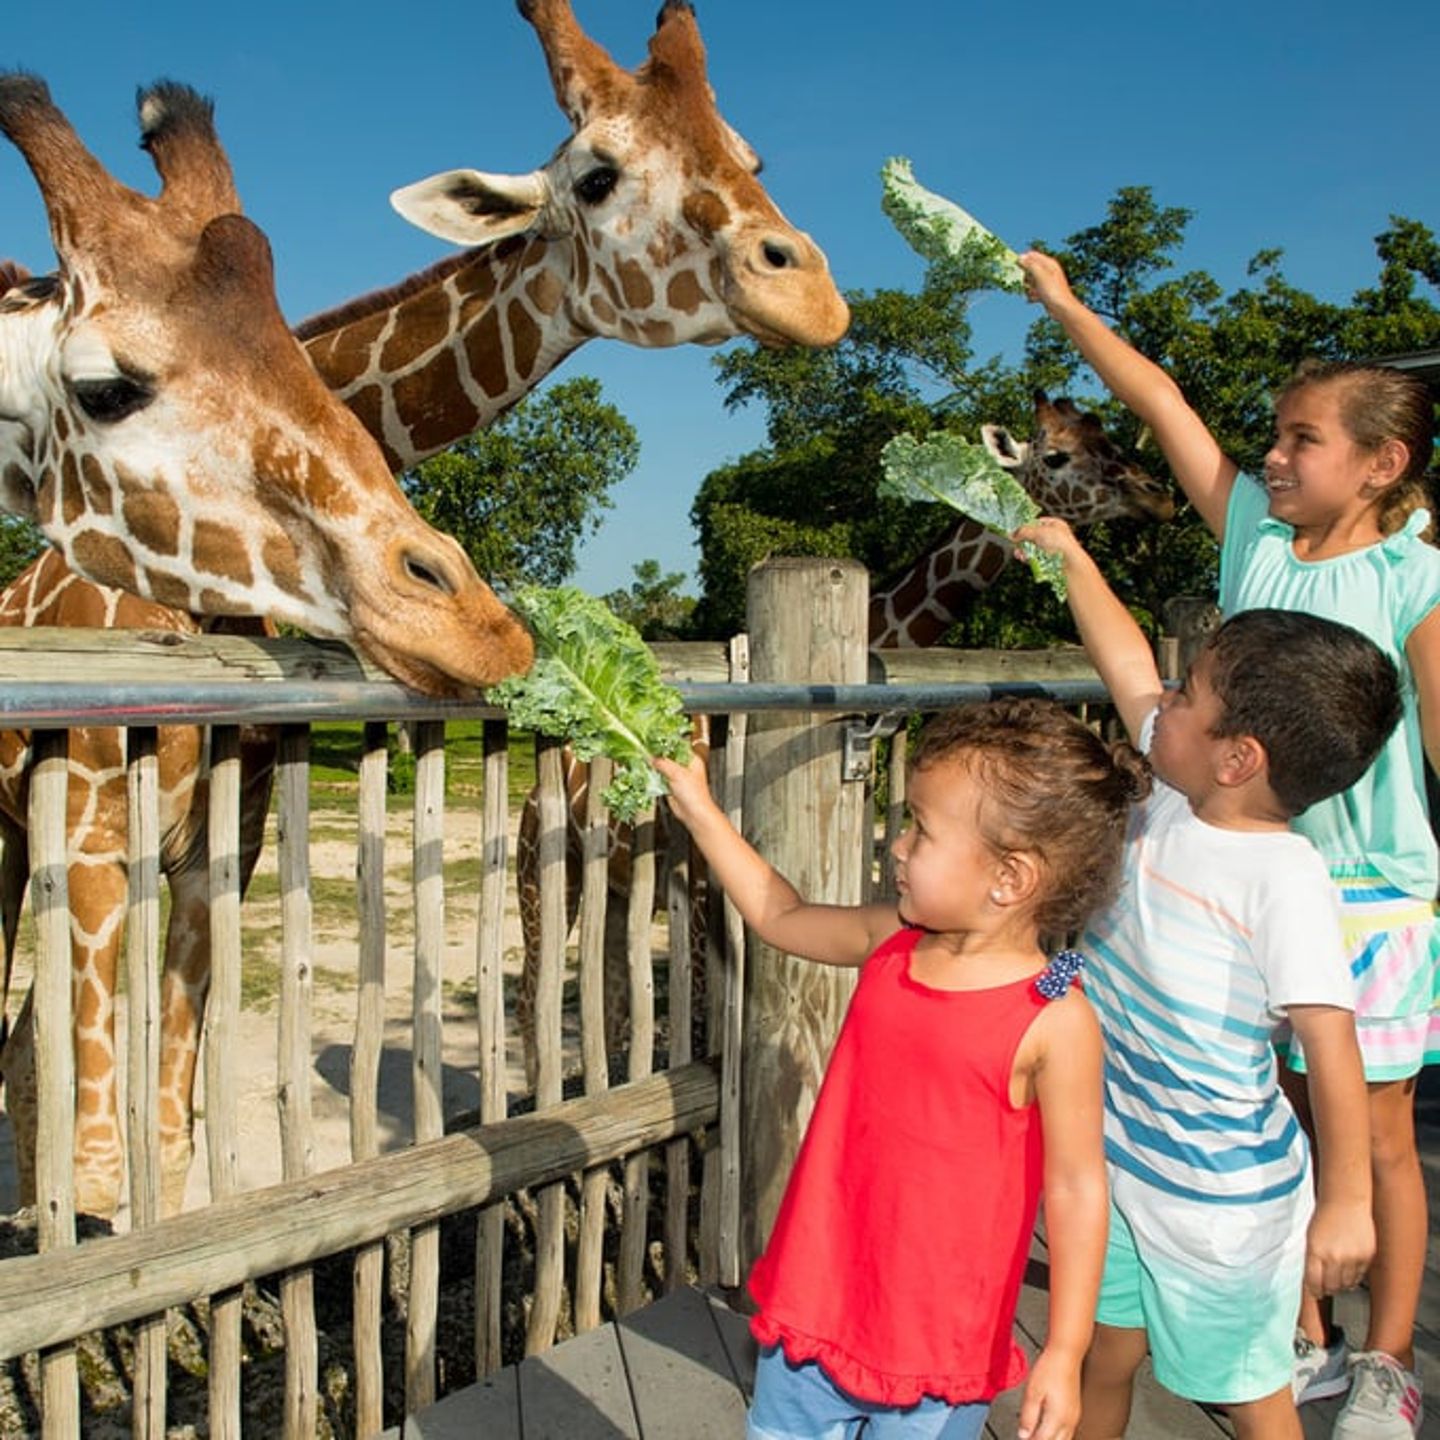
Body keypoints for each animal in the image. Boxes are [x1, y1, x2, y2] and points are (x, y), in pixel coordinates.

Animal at [513, 391, 1175, 1088]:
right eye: (1057, 455)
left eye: (1108, 437)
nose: (1157, 495)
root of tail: (540, 791)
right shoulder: (696, 889)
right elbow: (697, 1026)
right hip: (544, 872)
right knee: (534, 999)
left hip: (616, 892)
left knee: (609, 1004)